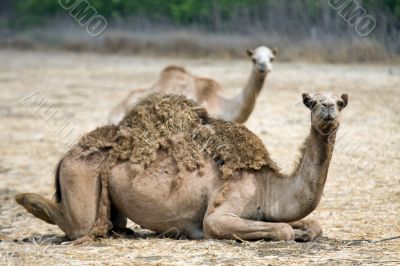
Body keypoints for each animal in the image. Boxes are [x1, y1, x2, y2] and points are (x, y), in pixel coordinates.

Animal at [15, 92, 346, 243]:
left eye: (339, 103)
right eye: (312, 101)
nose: (328, 108)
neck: (267, 186)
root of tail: (66, 156)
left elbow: (312, 225)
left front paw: (305, 231)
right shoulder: (219, 216)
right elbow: (282, 230)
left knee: (112, 224)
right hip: (81, 180)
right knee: (75, 223)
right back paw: (23, 199)